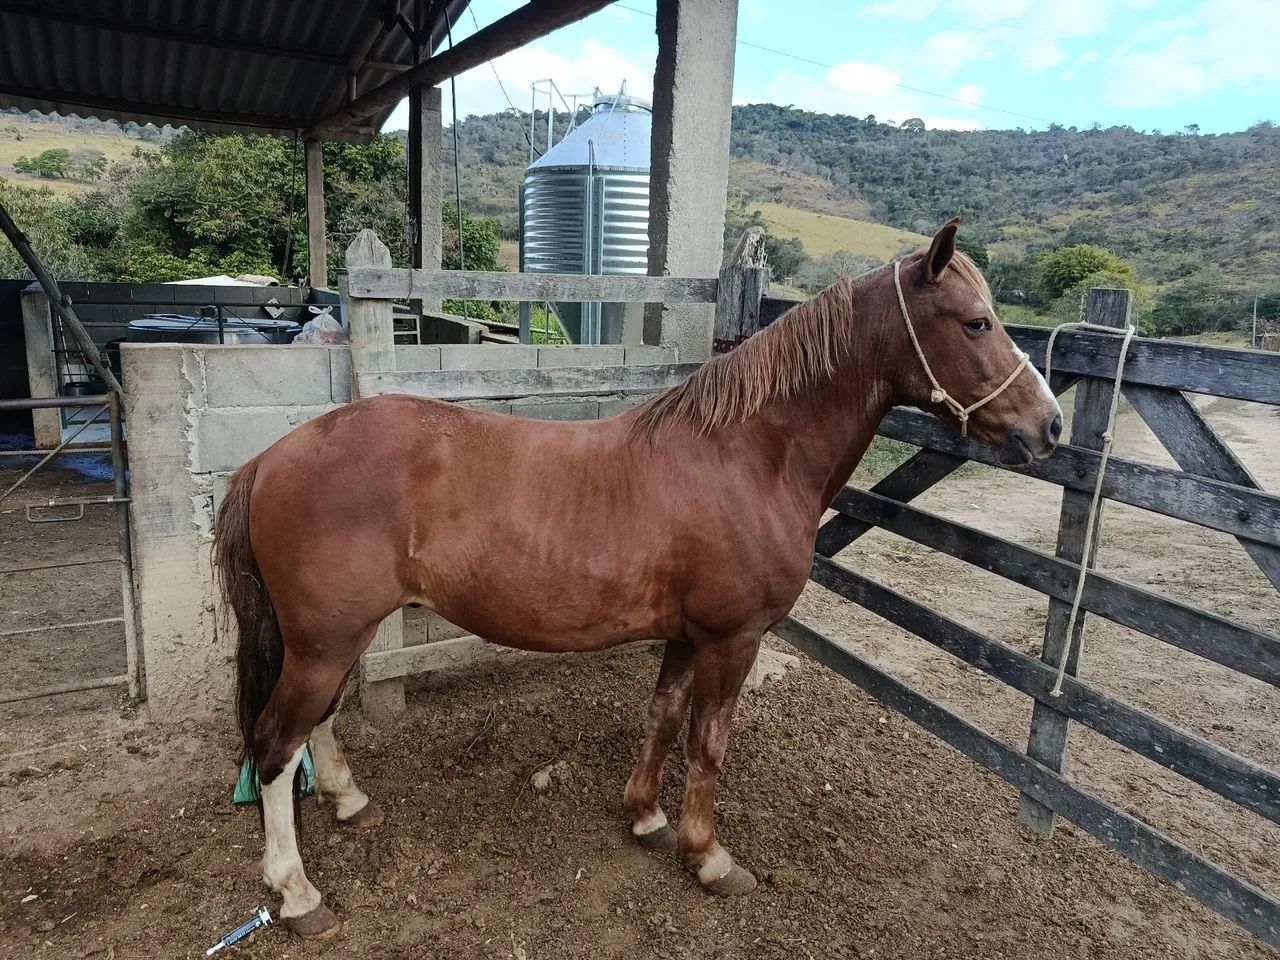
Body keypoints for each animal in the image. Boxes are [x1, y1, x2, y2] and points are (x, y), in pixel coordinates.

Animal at [212, 219, 1062, 937]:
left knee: (314, 727)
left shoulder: (688, 635)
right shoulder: (734, 638)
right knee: (276, 745)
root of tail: (271, 459)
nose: (1049, 425)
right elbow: (710, 741)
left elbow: (661, 715)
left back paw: (349, 801)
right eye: (977, 322)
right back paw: (297, 894)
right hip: (325, 641)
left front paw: (646, 816)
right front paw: (708, 856)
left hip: (328, 639)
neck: (748, 454)